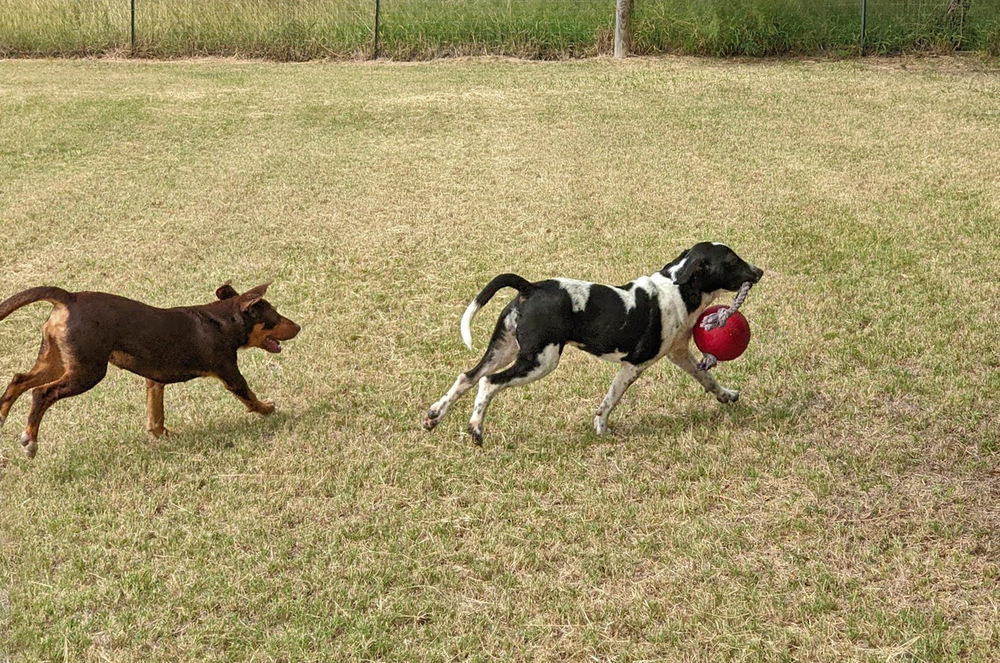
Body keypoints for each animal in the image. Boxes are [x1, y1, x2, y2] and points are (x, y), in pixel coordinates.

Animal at [0, 282, 298, 460]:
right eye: (275, 316)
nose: (298, 327)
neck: (221, 321)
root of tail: (69, 299)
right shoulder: (230, 374)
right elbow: (250, 398)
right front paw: (268, 409)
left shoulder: (154, 382)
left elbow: (156, 418)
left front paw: (165, 436)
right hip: (87, 372)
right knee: (41, 393)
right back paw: (31, 441)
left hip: (57, 362)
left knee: (18, 380)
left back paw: (2, 416)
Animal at [424, 241, 764, 444]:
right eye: (732, 261)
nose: (759, 271)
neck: (678, 289)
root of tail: (530, 287)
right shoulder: (634, 364)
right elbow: (610, 400)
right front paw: (601, 428)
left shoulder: (679, 354)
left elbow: (707, 378)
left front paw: (726, 395)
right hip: (539, 361)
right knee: (488, 383)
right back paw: (475, 428)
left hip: (505, 349)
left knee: (467, 377)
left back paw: (434, 415)